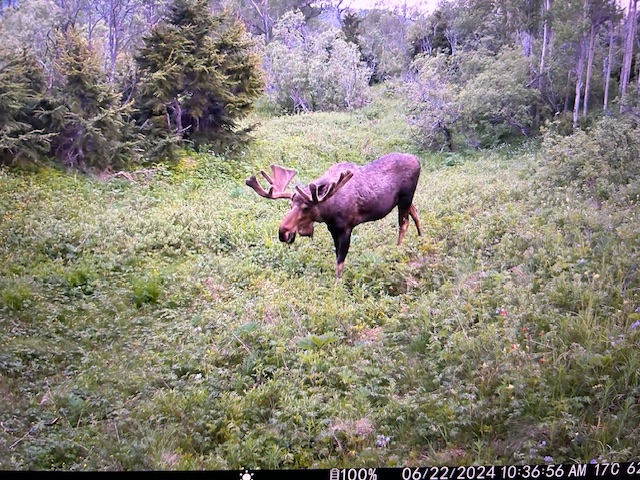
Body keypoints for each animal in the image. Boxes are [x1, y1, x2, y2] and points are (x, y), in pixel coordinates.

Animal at [248, 152, 422, 280]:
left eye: (306, 207)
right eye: (290, 205)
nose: (283, 232)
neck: (327, 213)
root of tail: (418, 160)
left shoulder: (346, 228)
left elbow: (339, 262)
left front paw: (337, 285)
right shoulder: (333, 229)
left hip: (405, 197)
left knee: (404, 223)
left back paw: (397, 250)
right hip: (404, 200)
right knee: (415, 212)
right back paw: (421, 237)